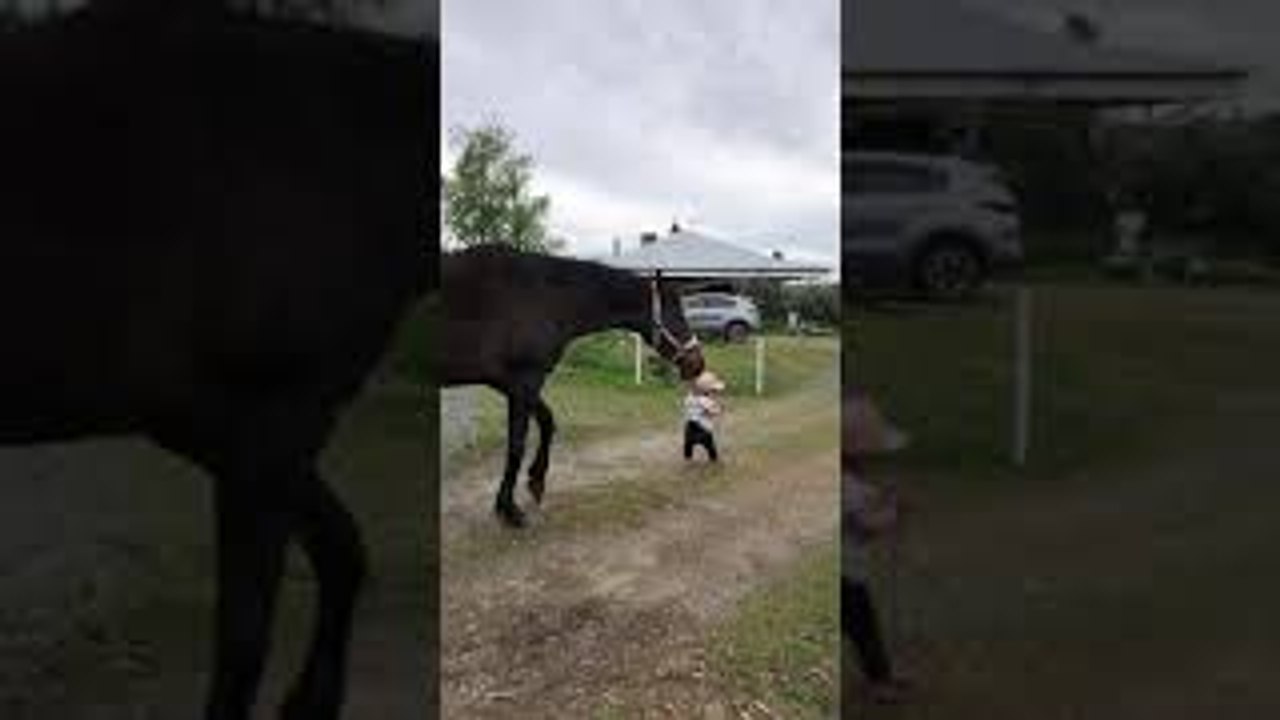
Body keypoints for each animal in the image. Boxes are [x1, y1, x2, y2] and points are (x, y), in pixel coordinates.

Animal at [439, 245, 706, 527]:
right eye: (675, 312)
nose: (698, 364)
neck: (540, 295)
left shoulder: (510, 383)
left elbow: (547, 421)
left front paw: (536, 482)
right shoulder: (525, 381)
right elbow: (516, 445)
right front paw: (509, 509)